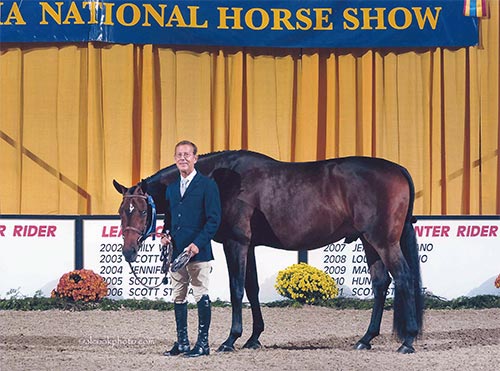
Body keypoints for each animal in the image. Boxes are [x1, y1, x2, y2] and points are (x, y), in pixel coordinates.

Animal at [115, 150, 424, 354]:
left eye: (141, 210)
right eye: (121, 210)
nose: (128, 252)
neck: (221, 179)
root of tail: (398, 169)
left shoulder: (236, 243)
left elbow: (236, 289)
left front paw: (230, 340)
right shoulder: (249, 246)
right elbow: (252, 289)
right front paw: (253, 338)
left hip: (383, 242)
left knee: (404, 278)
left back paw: (408, 341)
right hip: (370, 242)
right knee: (381, 283)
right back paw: (366, 339)